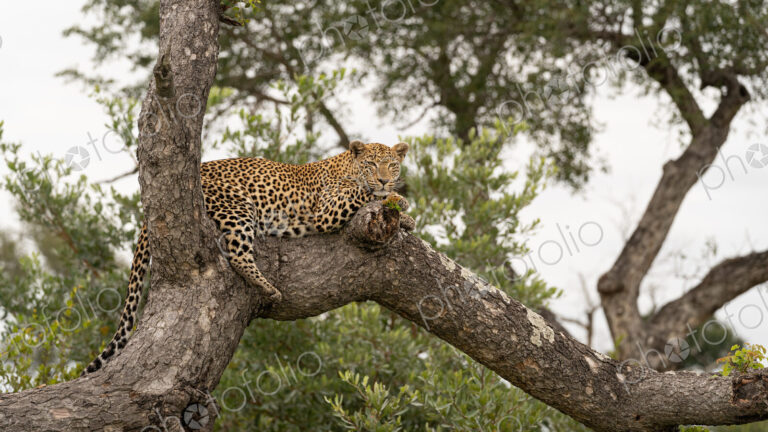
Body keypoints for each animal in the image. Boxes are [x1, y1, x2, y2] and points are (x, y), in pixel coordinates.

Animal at [82, 141, 411, 375]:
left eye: (392, 165)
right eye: (371, 164)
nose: (384, 179)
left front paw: (404, 214)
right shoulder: (327, 210)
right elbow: (366, 194)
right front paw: (395, 199)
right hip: (237, 205)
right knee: (238, 254)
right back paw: (268, 288)